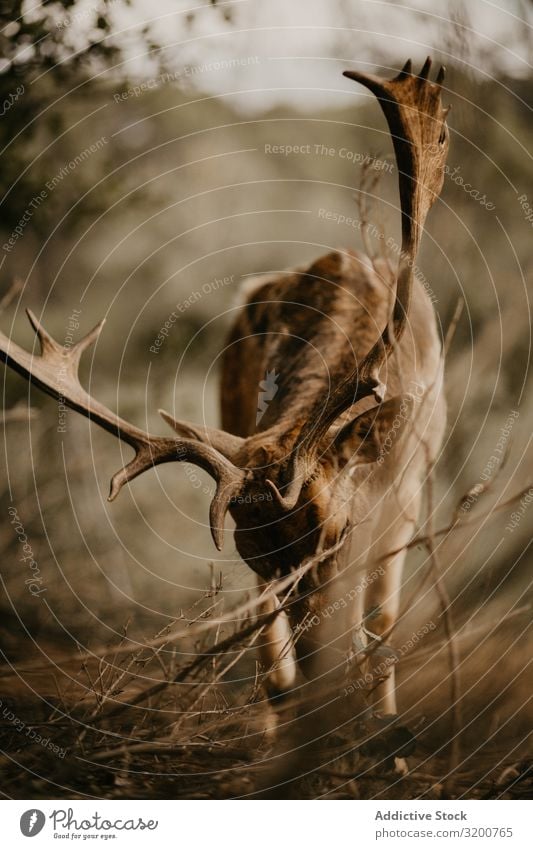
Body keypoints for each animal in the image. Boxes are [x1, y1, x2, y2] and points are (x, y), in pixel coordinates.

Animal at [1, 59, 448, 780]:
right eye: (254, 550)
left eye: (336, 532)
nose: (318, 667)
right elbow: (278, 643)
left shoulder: (403, 492)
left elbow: (380, 623)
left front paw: (384, 741)